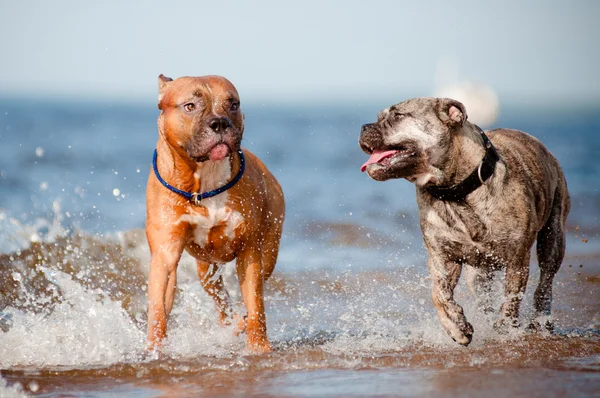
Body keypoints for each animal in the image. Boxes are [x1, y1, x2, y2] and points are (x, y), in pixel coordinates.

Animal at [146, 74, 284, 352]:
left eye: (233, 104)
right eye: (190, 106)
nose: (220, 123)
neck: (204, 181)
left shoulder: (250, 252)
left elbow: (256, 304)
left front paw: (258, 347)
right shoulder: (165, 252)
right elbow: (157, 308)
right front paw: (153, 349)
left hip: (268, 251)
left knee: (249, 299)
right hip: (206, 270)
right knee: (221, 300)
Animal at [358, 98, 568, 346]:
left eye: (398, 115)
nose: (363, 127)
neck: (454, 190)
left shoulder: (518, 259)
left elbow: (512, 297)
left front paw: (505, 327)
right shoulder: (442, 257)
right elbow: (438, 293)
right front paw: (456, 326)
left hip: (553, 236)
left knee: (545, 281)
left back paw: (540, 322)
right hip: (477, 274)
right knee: (484, 296)